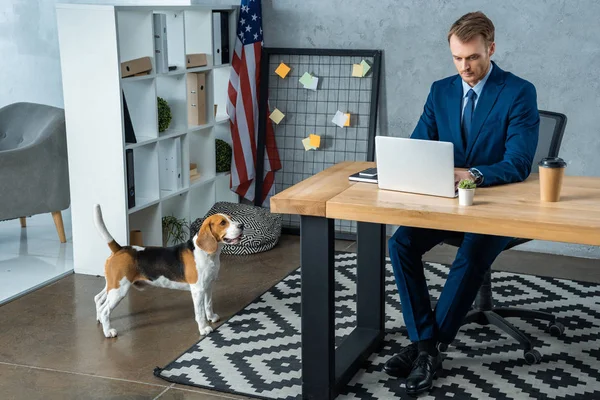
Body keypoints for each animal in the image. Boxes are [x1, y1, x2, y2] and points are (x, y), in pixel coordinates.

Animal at [92, 203, 243, 338]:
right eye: (223, 223)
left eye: (230, 218)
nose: (241, 226)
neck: (207, 253)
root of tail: (120, 248)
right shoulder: (198, 290)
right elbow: (200, 312)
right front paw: (204, 328)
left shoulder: (208, 286)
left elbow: (208, 304)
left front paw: (211, 317)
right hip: (119, 290)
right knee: (105, 310)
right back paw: (108, 331)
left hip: (112, 285)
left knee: (98, 299)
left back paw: (100, 321)